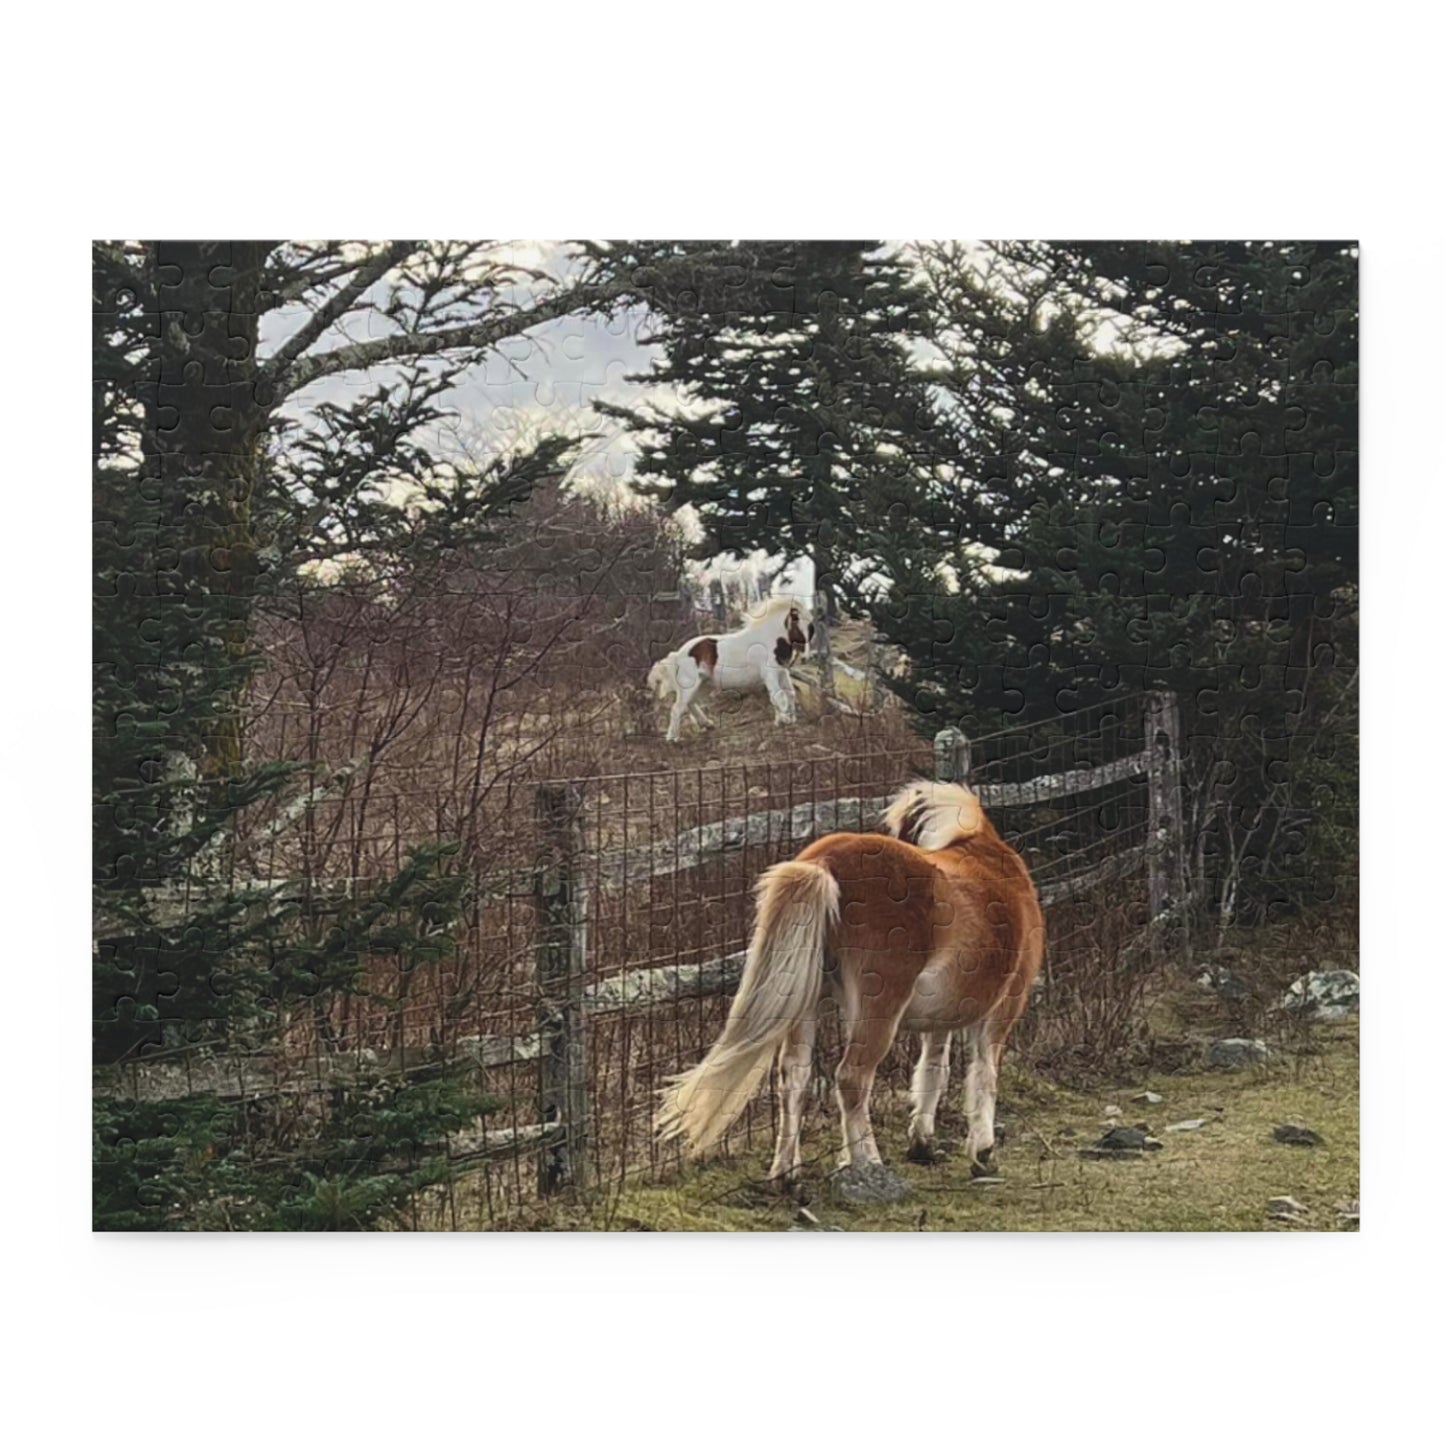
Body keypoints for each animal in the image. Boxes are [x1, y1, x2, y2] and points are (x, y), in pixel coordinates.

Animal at [647, 596, 813, 743]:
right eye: (799, 622)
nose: (806, 657)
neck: (768, 639)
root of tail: (677, 654)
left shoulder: (781, 672)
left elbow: (789, 693)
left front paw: (786, 719)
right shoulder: (770, 674)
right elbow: (778, 696)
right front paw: (784, 720)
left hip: (700, 684)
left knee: (690, 704)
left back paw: (707, 724)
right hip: (689, 685)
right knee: (677, 708)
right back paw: (672, 738)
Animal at [655, 780, 1045, 1187]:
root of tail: (824, 864)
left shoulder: (942, 1017)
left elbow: (933, 1069)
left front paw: (922, 1142)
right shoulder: (1003, 1009)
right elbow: (984, 1072)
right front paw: (983, 1152)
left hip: (806, 1005)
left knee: (795, 1077)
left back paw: (787, 1173)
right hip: (879, 1011)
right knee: (852, 1078)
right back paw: (867, 1162)